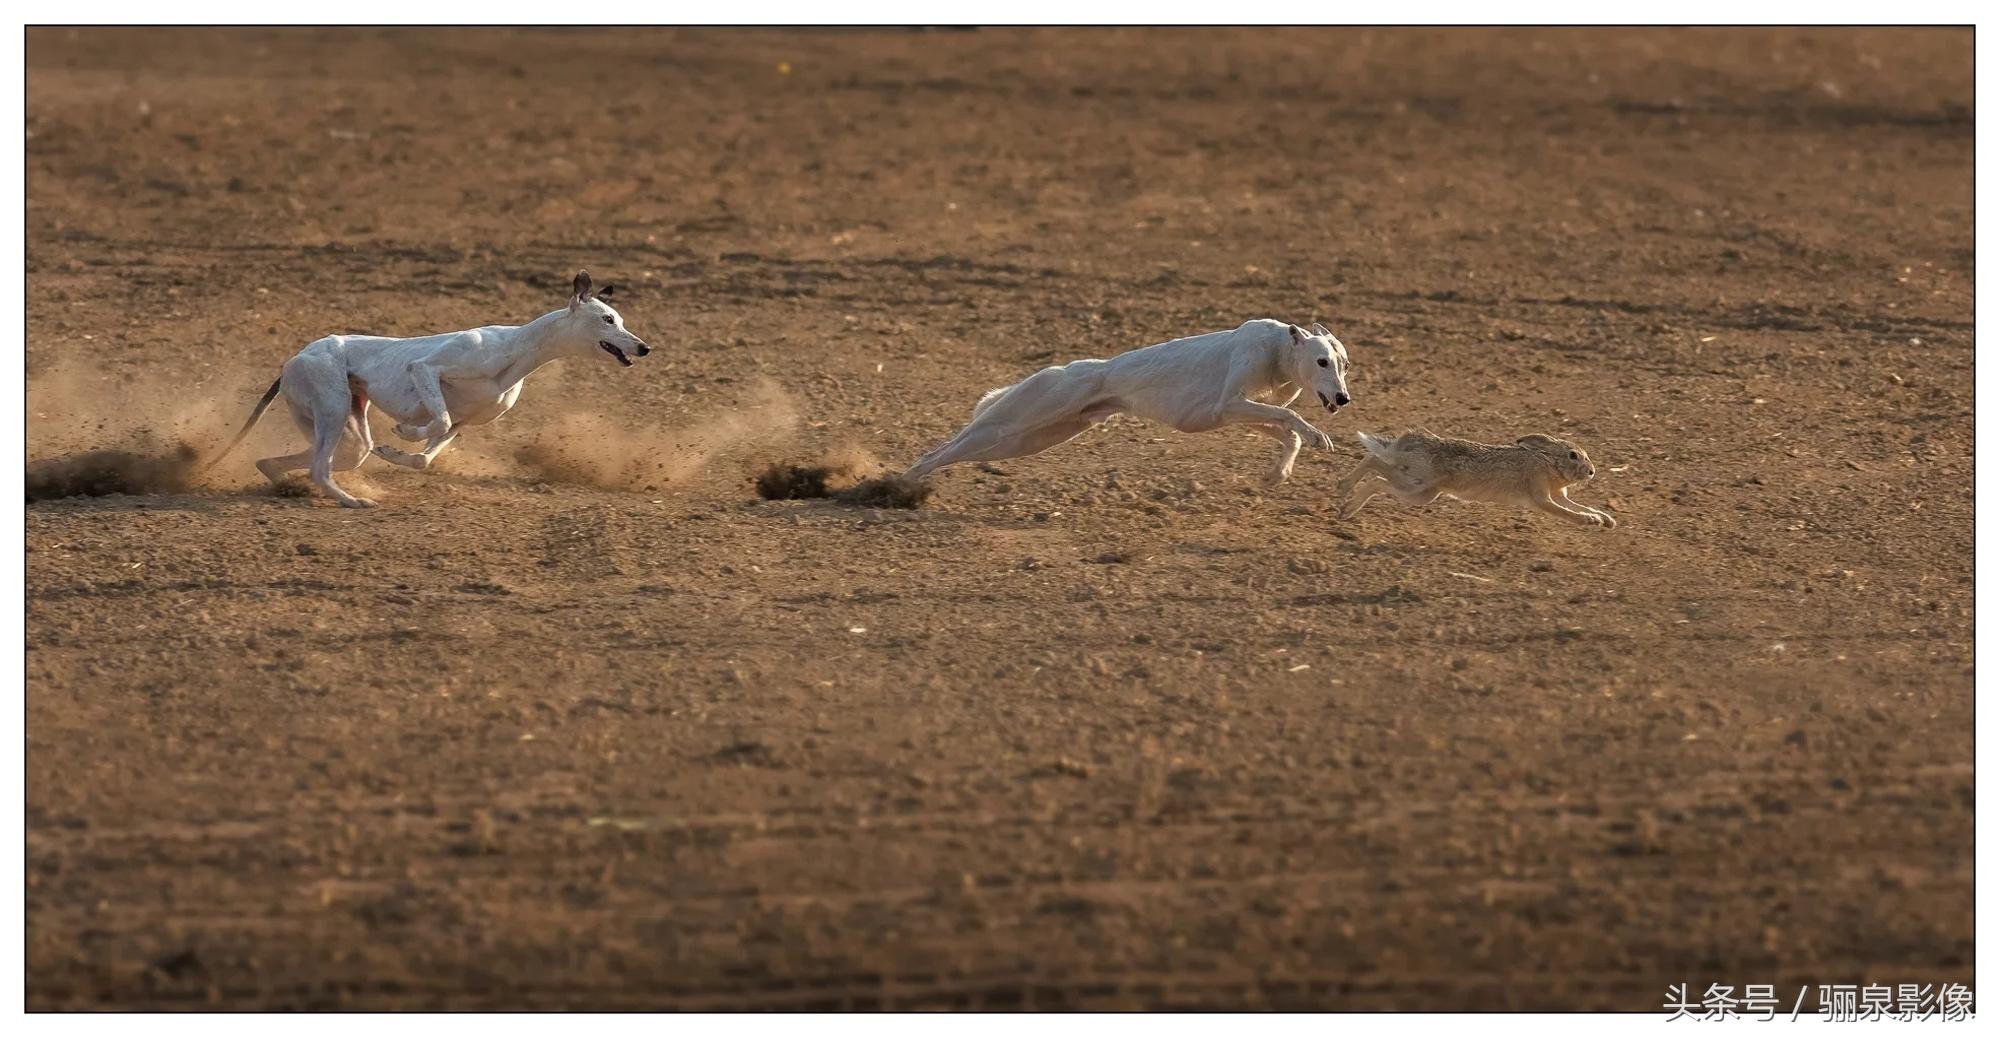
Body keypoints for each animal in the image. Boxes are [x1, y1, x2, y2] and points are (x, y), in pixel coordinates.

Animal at [201, 270, 648, 510]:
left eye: (620, 318)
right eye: (607, 319)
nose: (643, 347)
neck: (516, 349)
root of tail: (294, 359)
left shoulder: (465, 423)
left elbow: (426, 455)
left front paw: (396, 452)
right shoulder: (425, 369)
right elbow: (436, 417)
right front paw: (404, 432)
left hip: (347, 427)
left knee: (299, 460)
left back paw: (288, 483)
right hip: (332, 405)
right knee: (318, 467)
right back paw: (352, 500)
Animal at [912, 320, 1360, 488]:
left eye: (1345, 364)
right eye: (1321, 361)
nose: (1342, 398)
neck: (1279, 351)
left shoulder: (1237, 413)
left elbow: (1287, 429)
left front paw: (1277, 473)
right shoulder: (1229, 405)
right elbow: (1289, 415)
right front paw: (1317, 437)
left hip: (1034, 437)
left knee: (952, 450)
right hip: (1012, 423)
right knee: (938, 451)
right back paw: (905, 482)